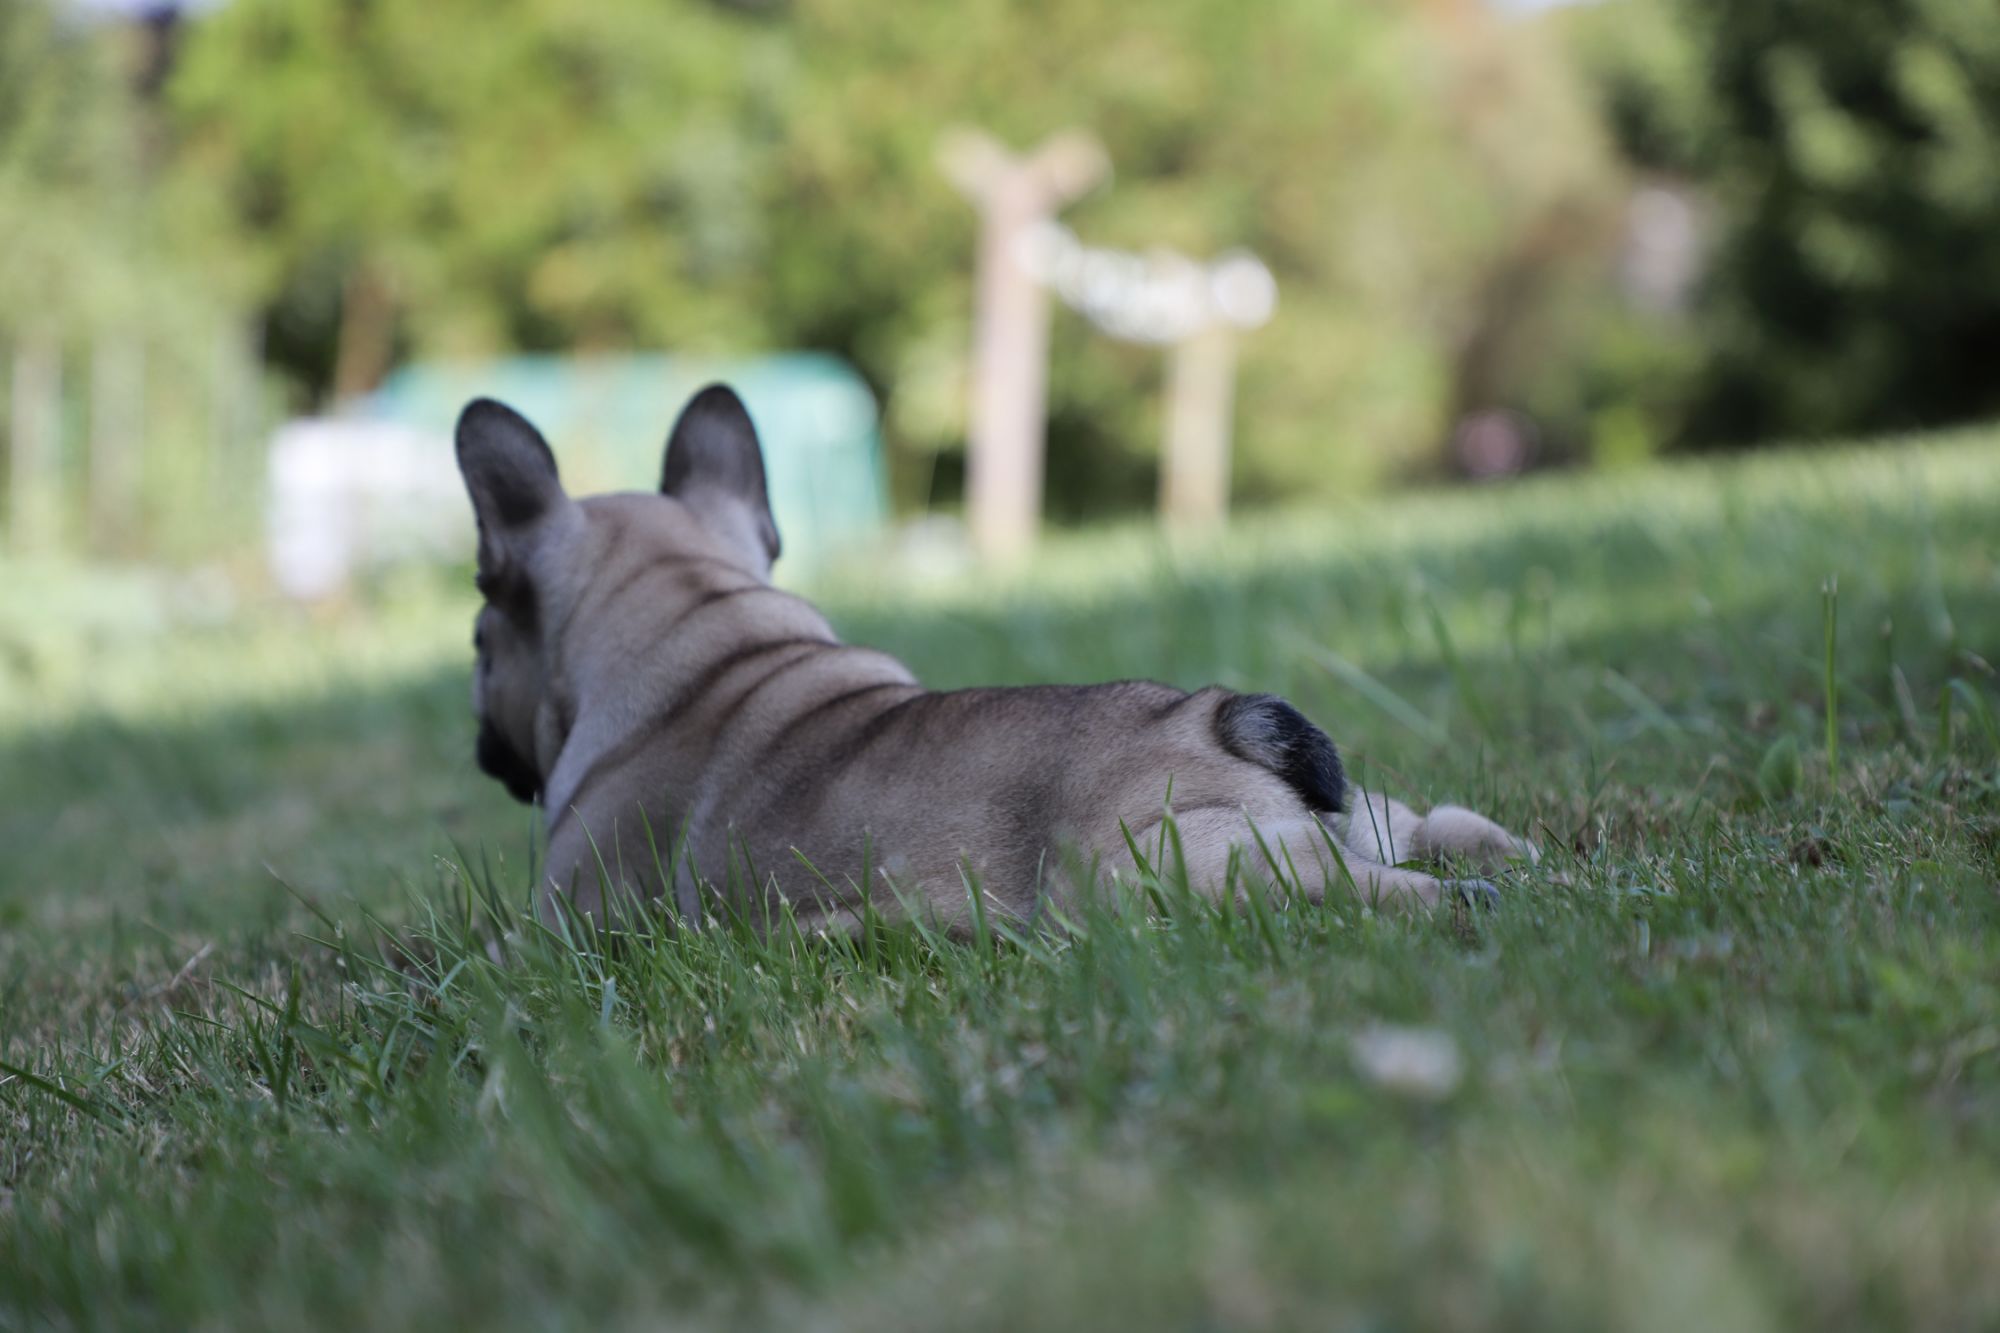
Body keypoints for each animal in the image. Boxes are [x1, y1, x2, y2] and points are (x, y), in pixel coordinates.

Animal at [458, 385, 1534, 930]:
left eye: (474, 643)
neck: (704, 624)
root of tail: (1213, 716)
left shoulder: (560, 926)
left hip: (1154, 868)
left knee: (1353, 888)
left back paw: (1456, 906)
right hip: (1357, 814)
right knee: (1435, 821)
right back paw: (1515, 863)